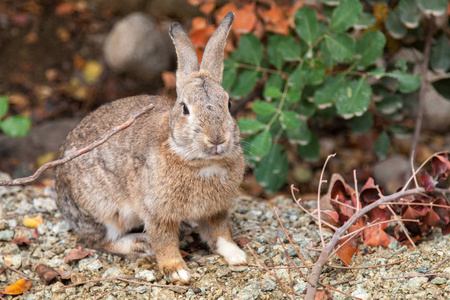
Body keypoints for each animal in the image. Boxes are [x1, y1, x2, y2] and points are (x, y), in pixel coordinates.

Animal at [55, 11, 250, 284]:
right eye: (185, 108)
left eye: (229, 104)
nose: (217, 139)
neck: (199, 161)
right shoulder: (157, 212)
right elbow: (164, 241)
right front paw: (178, 271)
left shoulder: (215, 210)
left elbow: (221, 233)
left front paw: (237, 256)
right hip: (103, 210)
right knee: (96, 240)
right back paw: (139, 245)